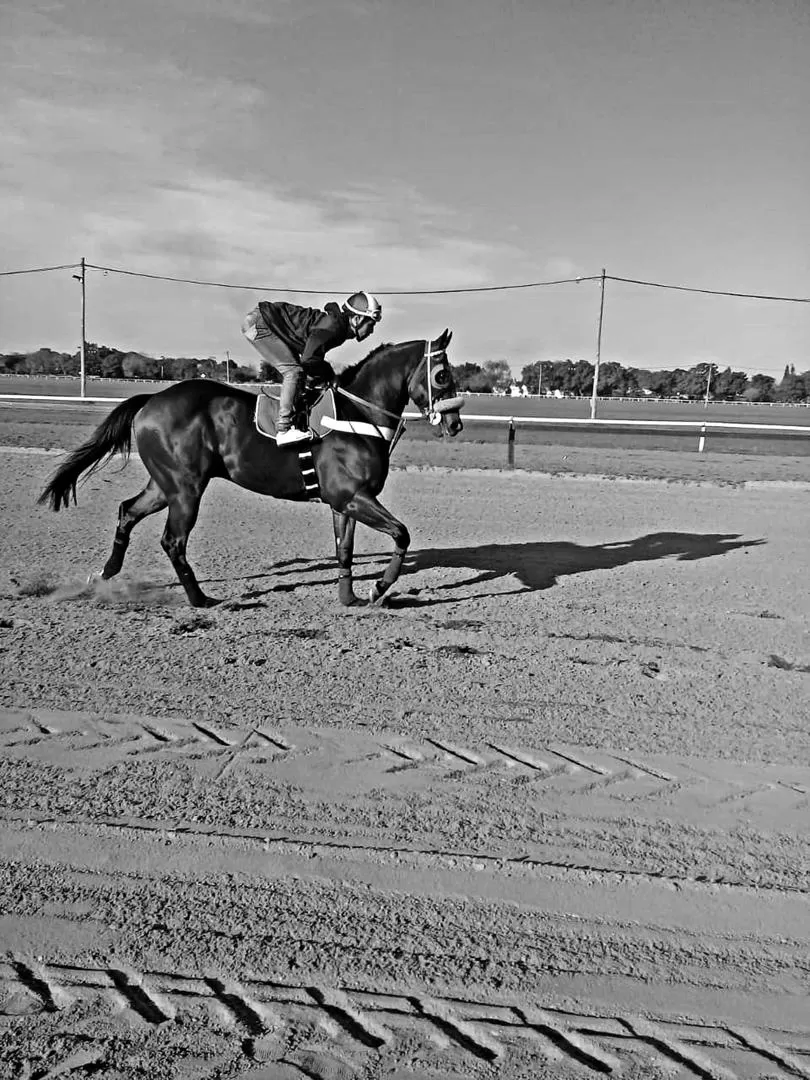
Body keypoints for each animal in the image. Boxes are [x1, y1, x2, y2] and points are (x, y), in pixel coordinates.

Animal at [38, 328, 466, 609]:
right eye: (443, 374)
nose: (455, 424)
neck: (357, 414)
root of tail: (152, 399)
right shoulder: (352, 495)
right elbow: (401, 533)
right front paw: (379, 588)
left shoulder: (344, 501)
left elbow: (344, 549)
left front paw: (351, 597)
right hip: (186, 488)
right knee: (173, 540)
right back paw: (201, 600)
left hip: (166, 484)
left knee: (127, 511)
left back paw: (104, 576)